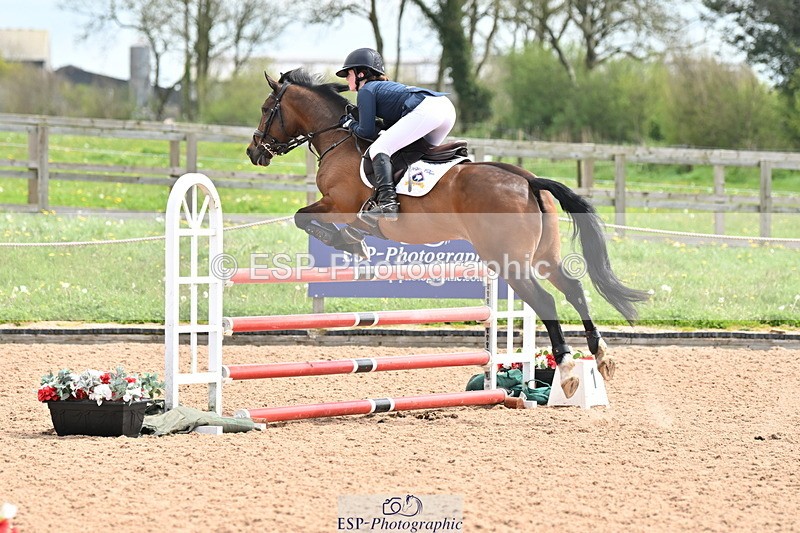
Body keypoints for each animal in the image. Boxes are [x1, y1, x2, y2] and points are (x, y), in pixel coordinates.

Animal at [246, 69, 649, 399]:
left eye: (267, 109)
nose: (253, 151)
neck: (337, 138)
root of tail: (528, 179)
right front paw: (356, 243)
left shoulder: (338, 203)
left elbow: (303, 218)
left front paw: (351, 243)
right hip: (542, 256)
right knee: (574, 288)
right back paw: (600, 355)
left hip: (510, 263)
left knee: (547, 300)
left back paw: (566, 368)